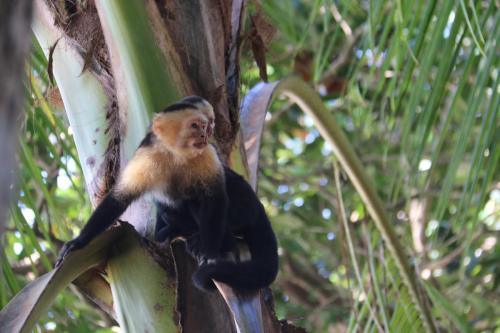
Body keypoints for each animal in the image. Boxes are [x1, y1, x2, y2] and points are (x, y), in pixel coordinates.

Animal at [57, 95, 282, 290]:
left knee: (201, 199)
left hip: (244, 210)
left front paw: (208, 252)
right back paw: (178, 230)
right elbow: (118, 199)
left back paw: (219, 243)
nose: (205, 134)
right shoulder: (147, 154)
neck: (177, 154)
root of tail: (259, 207)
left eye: (204, 127)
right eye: (194, 126)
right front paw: (79, 242)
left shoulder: (206, 153)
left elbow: (214, 198)